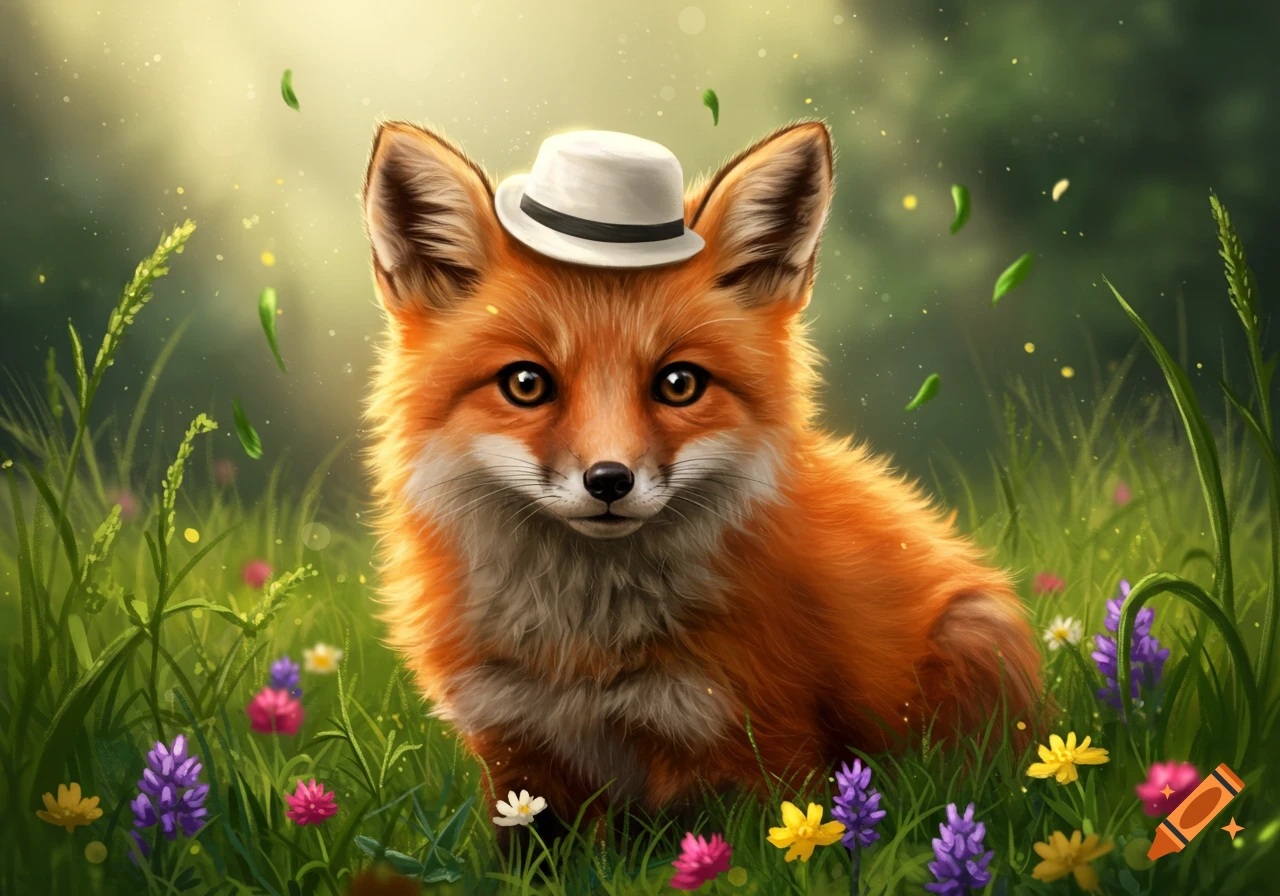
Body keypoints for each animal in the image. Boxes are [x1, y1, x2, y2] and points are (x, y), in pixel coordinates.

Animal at [359, 119, 1041, 821]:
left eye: (679, 383)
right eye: (526, 383)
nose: (609, 481)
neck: (583, 651)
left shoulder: (756, 745)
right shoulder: (517, 757)